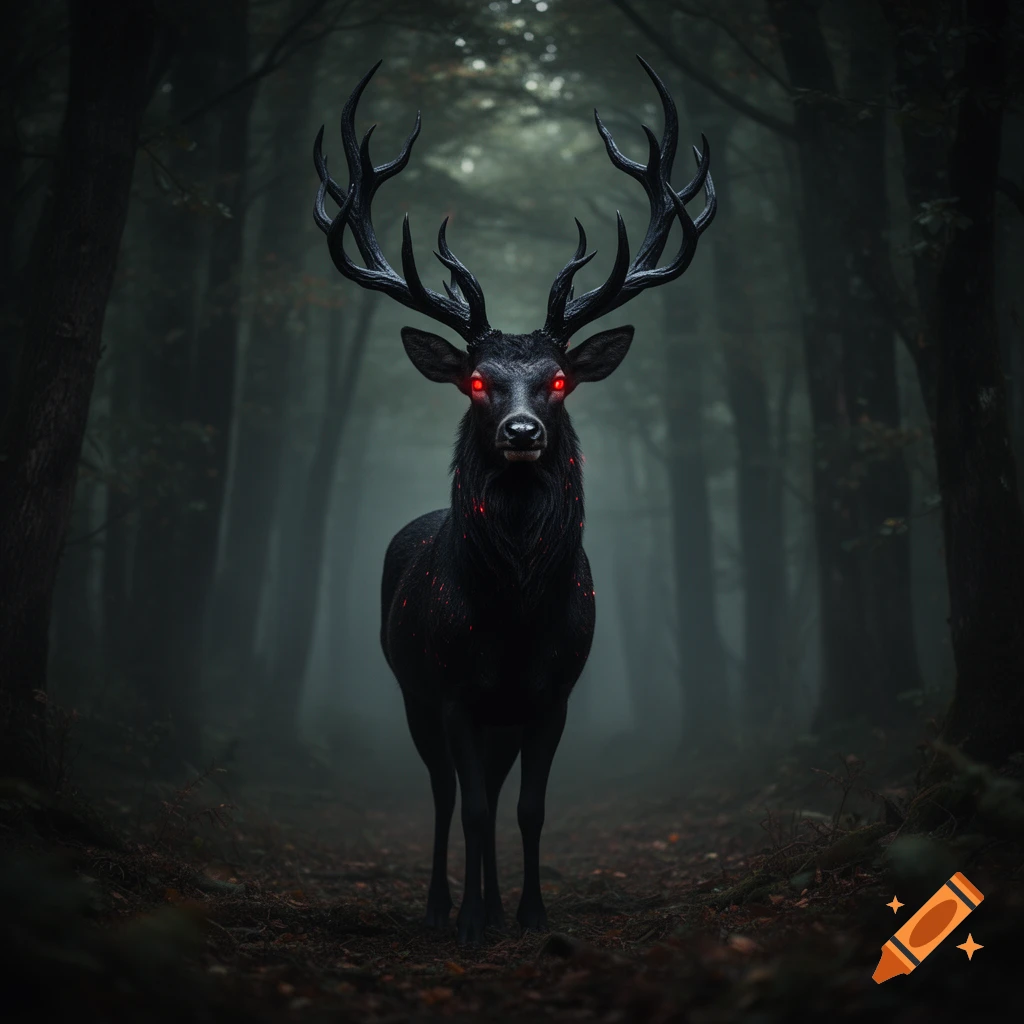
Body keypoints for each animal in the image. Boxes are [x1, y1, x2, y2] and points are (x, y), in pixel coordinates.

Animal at [313, 56, 715, 946]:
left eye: (559, 380)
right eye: (475, 381)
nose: (523, 430)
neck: (515, 618)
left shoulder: (552, 694)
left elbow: (527, 809)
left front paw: (528, 913)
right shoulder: (453, 690)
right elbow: (467, 810)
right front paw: (468, 920)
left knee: (492, 795)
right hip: (411, 692)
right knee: (444, 797)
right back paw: (442, 905)